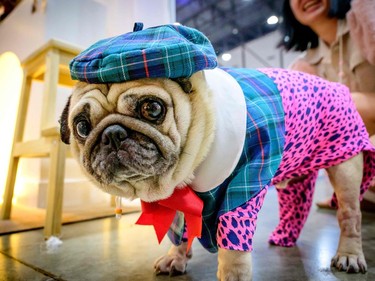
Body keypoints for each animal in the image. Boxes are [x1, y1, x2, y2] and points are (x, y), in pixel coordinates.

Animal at [60, 63, 374, 280]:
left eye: (152, 108)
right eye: (82, 126)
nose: (112, 134)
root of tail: (336, 85)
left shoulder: (241, 190)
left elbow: (233, 245)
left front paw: (233, 274)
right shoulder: (178, 200)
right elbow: (180, 230)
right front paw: (176, 257)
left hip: (345, 165)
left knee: (349, 214)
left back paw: (348, 255)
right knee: (296, 204)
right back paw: (284, 236)